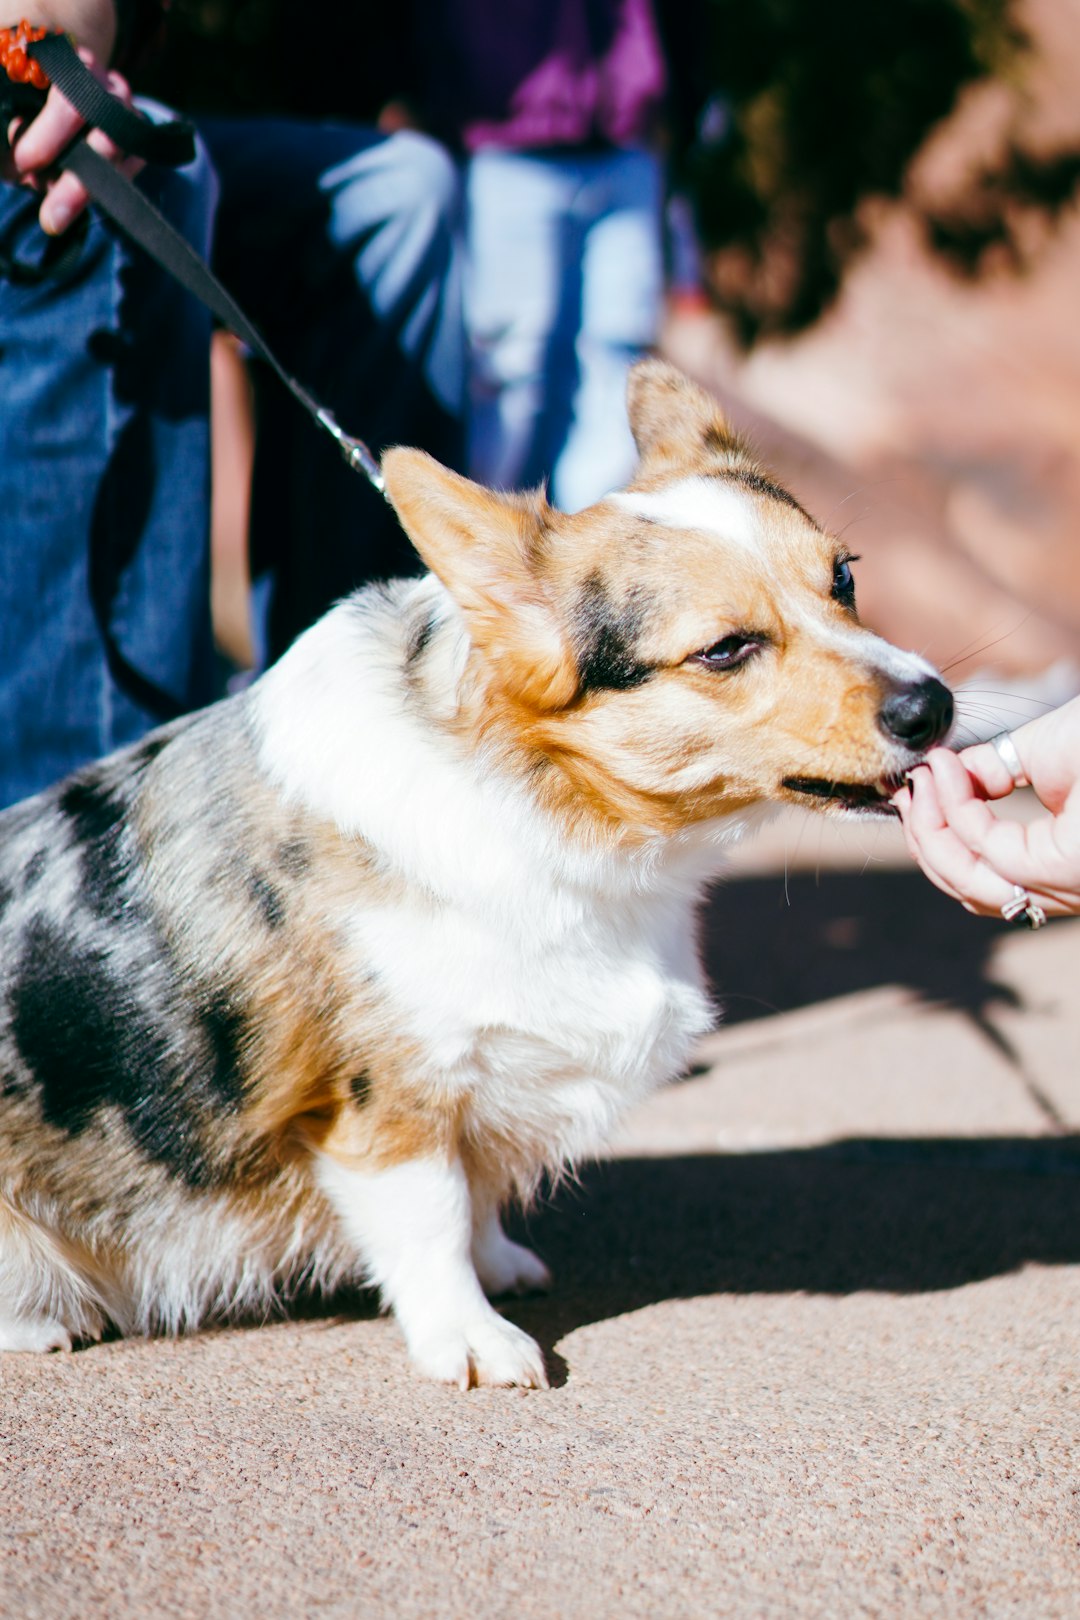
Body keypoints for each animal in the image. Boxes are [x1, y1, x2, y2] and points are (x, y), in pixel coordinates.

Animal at [0, 361, 945, 1386]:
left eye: (845, 577)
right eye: (726, 649)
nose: (933, 706)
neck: (558, 816)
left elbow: (478, 1199)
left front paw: (504, 1266)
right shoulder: (391, 1099)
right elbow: (434, 1222)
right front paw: (475, 1338)